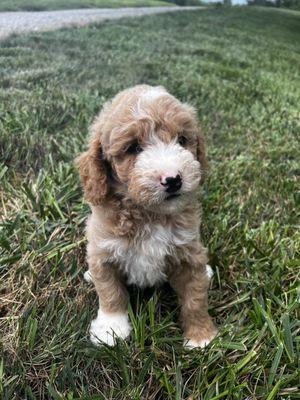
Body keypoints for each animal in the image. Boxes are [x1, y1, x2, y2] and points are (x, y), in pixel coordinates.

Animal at [76, 84, 217, 346]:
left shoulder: (188, 252)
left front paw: (200, 336)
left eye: (182, 140)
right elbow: (110, 292)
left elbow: (195, 297)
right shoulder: (104, 251)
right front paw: (110, 329)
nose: (173, 179)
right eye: (133, 147)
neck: (149, 214)